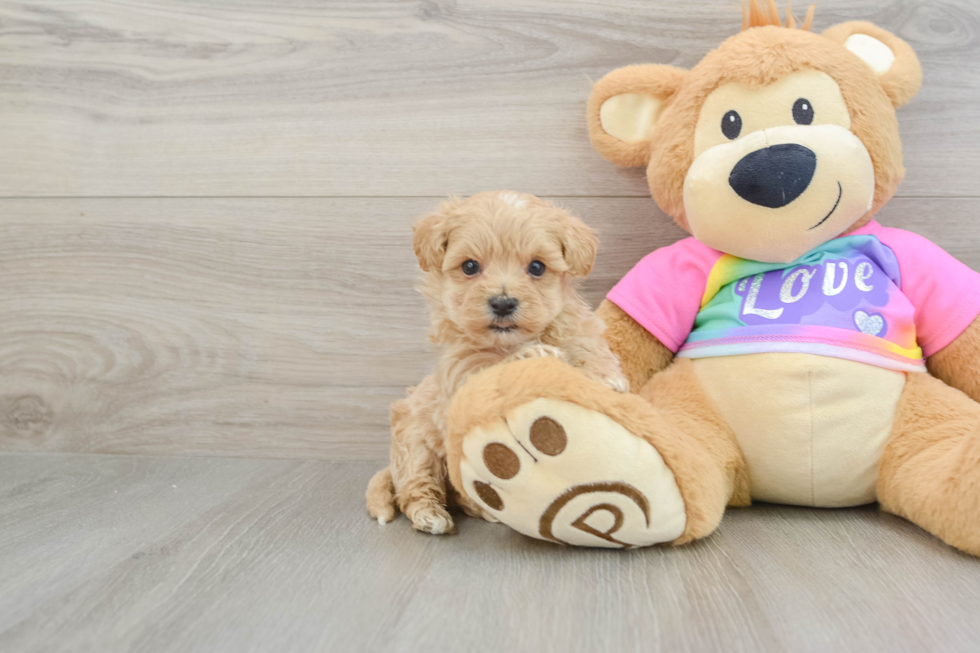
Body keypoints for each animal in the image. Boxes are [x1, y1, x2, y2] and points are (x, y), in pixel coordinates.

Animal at [366, 190, 628, 536]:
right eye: (470, 266)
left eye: (537, 267)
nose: (503, 303)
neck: (508, 342)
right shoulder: (460, 373)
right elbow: (488, 369)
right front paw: (530, 356)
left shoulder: (576, 330)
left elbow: (588, 348)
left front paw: (606, 378)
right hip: (415, 447)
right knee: (416, 486)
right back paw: (430, 515)